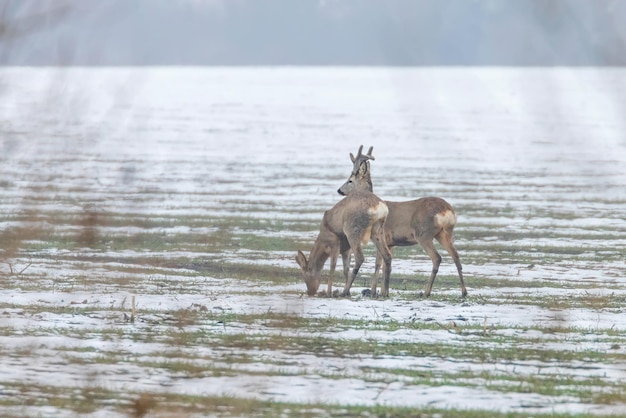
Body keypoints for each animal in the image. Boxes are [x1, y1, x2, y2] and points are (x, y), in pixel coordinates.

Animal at [294, 147, 390, 298]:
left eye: (304, 275)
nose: (310, 292)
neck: (322, 235)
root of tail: (379, 207)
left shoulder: (335, 241)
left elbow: (333, 266)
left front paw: (329, 292)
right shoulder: (345, 248)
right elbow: (345, 268)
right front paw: (347, 291)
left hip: (352, 229)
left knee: (360, 257)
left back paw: (344, 291)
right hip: (378, 230)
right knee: (387, 256)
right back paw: (383, 293)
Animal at [336, 145, 464, 298]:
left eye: (350, 180)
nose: (339, 190)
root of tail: (447, 210)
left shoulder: (383, 237)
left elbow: (378, 264)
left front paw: (374, 291)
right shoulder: (391, 242)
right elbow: (383, 265)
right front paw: (381, 291)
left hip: (424, 234)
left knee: (437, 258)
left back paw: (426, 292)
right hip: (445, 233)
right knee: (456, 256)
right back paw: (464, 292)